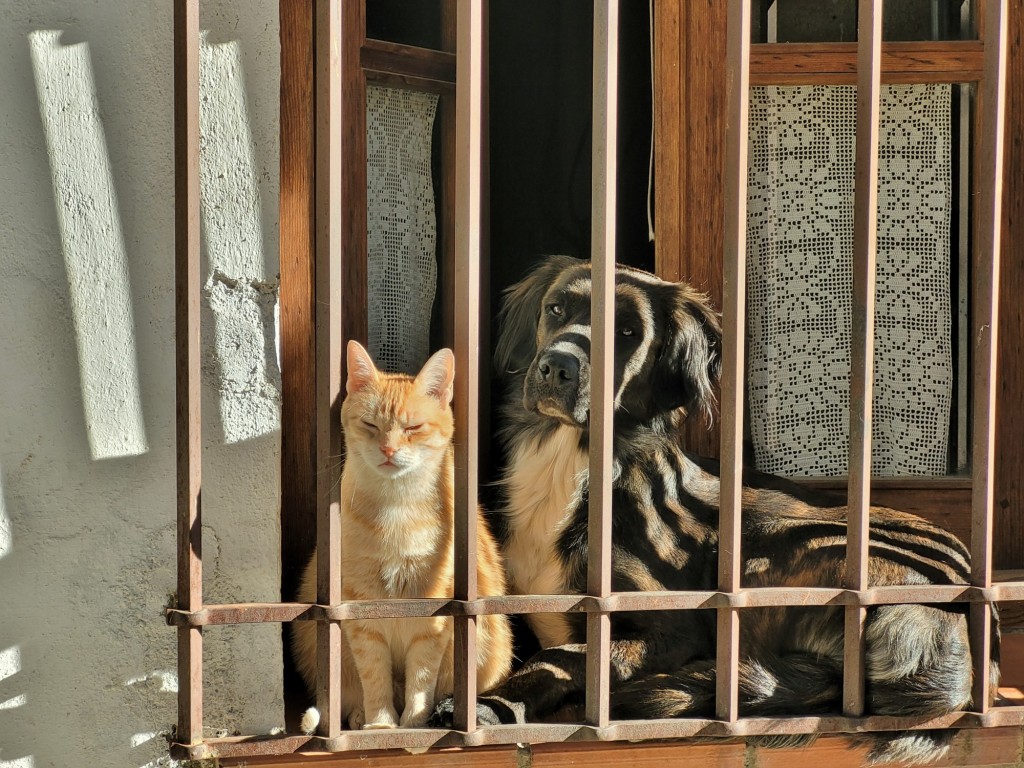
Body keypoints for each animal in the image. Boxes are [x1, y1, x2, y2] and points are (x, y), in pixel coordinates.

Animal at [292, 342, 516, 733]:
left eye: (413, 427)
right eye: (370, 425)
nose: (388, 450)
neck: (396, 510)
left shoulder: (433, 616)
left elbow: (421, 681)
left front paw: (413, 725)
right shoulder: (361, 614)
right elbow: (375, 679)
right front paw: (381, 725)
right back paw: (359, 716)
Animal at [428, 257, 995, 765]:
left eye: (628, 332)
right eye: (556, 308)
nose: (557, 367)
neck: (573, 461)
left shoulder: (671, 625)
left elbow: (564, 657)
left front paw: (486, 707)